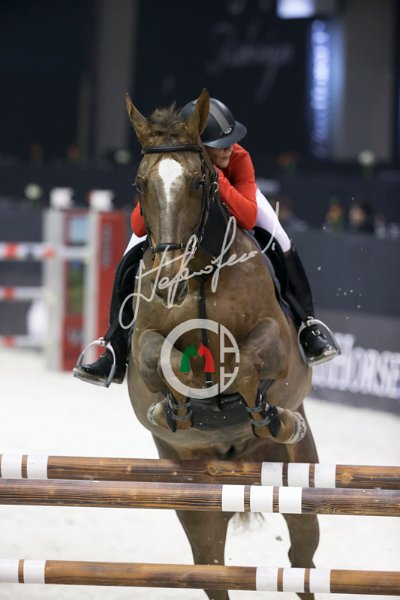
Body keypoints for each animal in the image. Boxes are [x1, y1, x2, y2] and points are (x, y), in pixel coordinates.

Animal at [125, 89, 319, 600]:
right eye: (139, 185)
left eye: (198, 181)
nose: (169, 280)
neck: (200, 274)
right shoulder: (143, 344)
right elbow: (156, 358)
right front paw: (177, 403)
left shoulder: (275, 339)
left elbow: (249, 363)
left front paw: (256, 408)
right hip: (194, 496)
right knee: (211, 568)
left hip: (300, 481)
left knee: (302, 561)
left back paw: (278, 422)